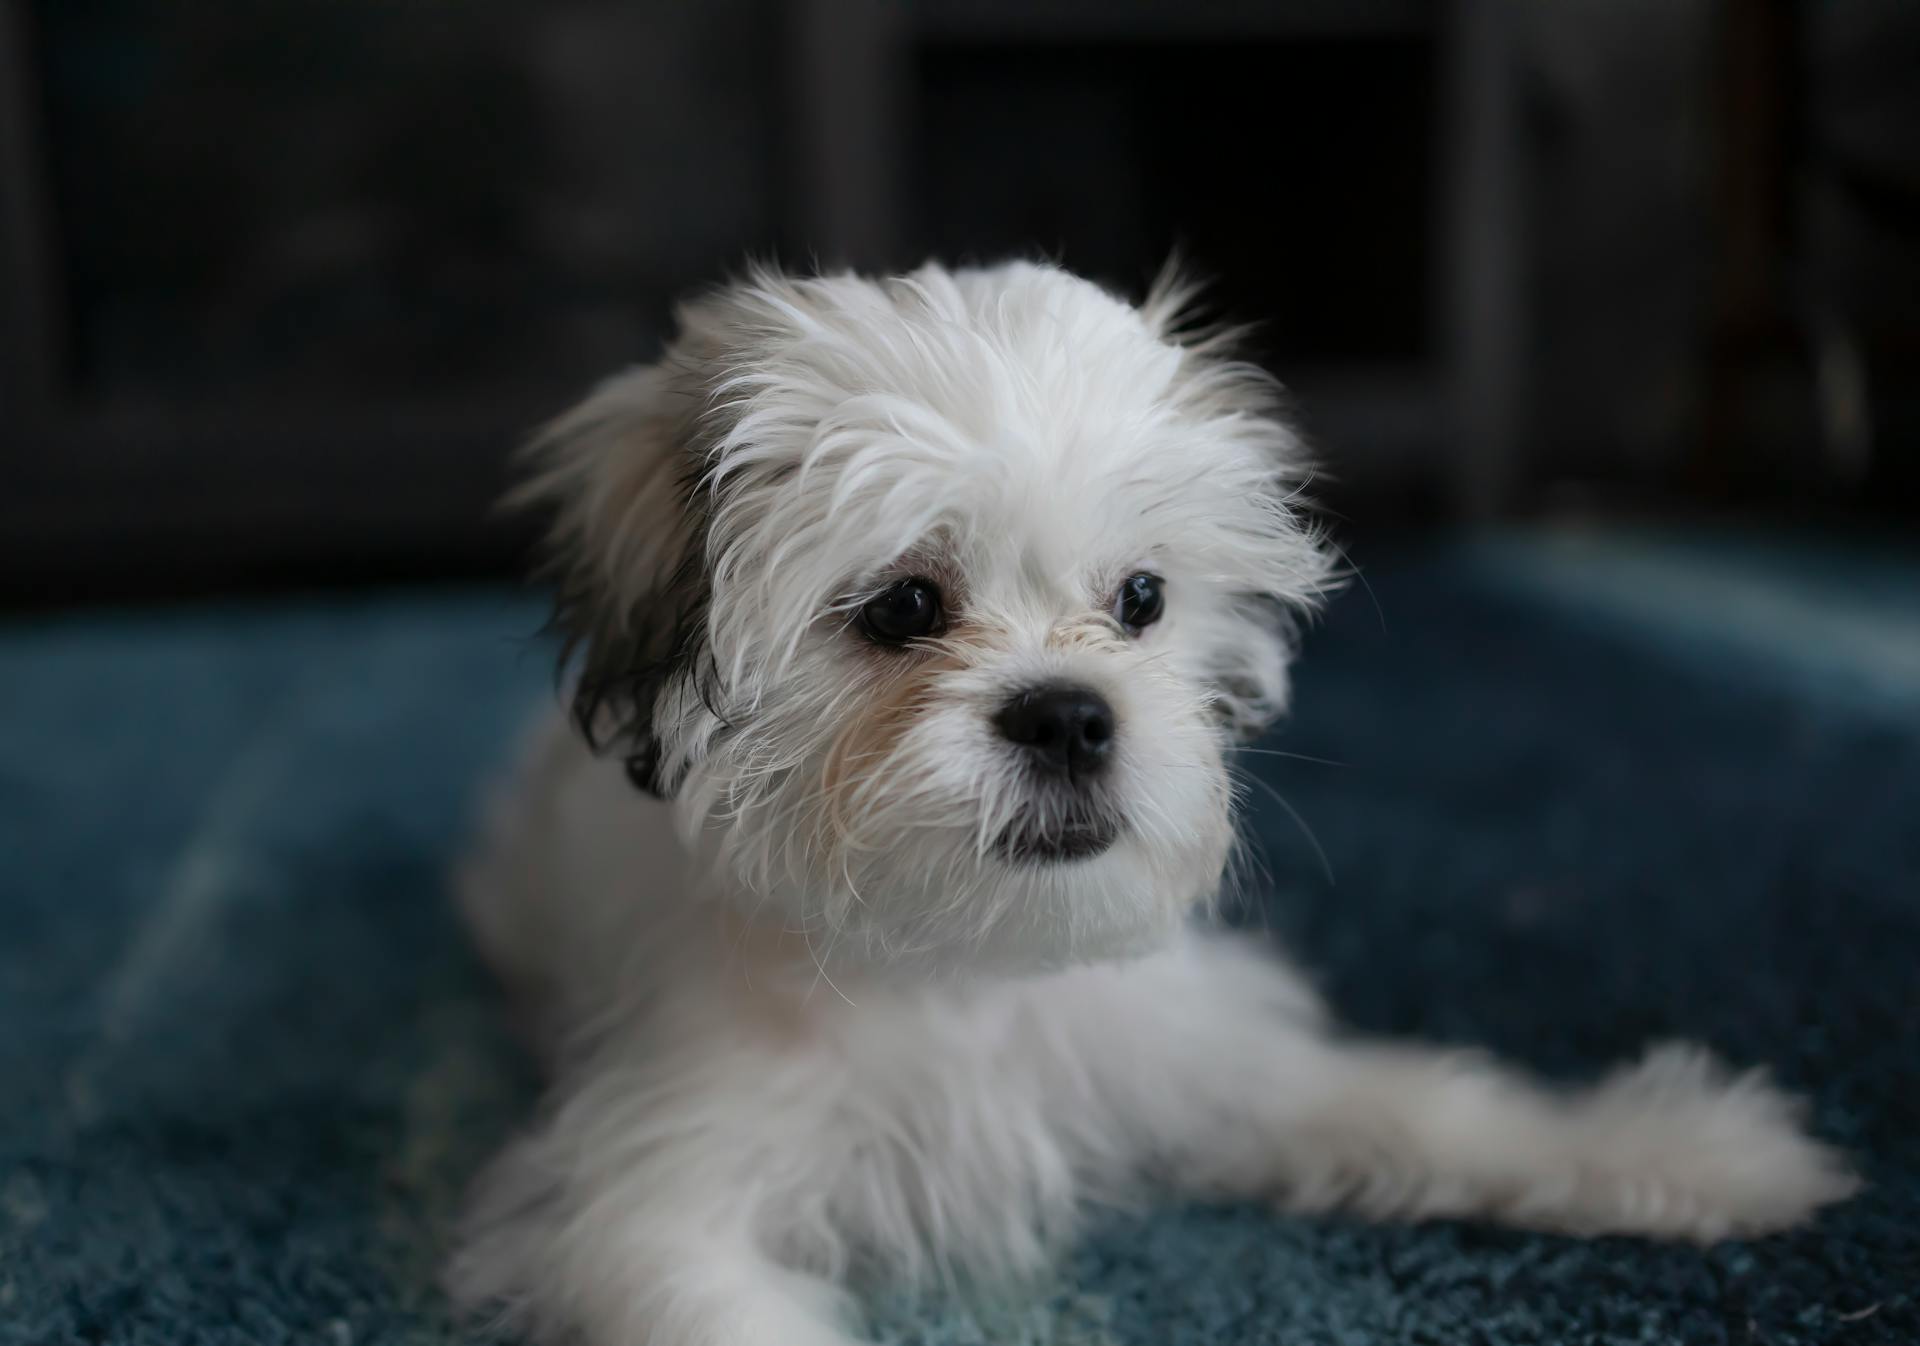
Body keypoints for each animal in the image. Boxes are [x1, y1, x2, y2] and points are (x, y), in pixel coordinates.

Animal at [445, 257, 1843, 1336]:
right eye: (902, 606)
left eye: (1141, 599)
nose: (1070, 713)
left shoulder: (1216, 1058)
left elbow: (1436, 1104)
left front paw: (1677, 1148)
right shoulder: (652, 1208)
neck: (962, 973)